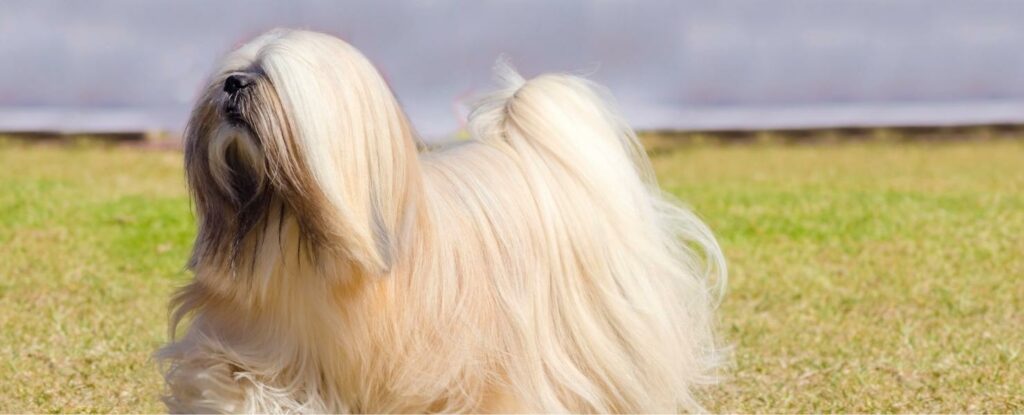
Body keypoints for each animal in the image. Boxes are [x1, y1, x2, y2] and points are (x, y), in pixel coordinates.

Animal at [155, 28, 724, 409]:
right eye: (232, 75)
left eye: (265, 79)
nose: (231, 84)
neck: (296, 232)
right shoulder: (249, 341)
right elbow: (231, 378)